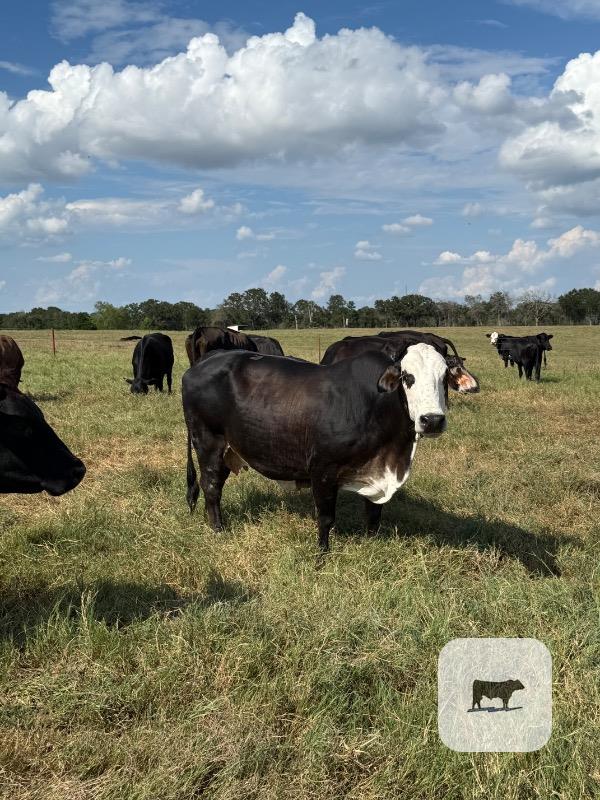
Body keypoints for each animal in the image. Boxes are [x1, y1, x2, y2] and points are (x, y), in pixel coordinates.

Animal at [183, 342, 451, 552]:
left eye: (445, 377)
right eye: (407, 377)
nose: (432, 420)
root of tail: (207, 359)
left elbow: (373, 516)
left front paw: (371, 544)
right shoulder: (323, 469)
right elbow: (325, 518)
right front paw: (322, 555)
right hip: (208, 442)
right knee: (211, 486)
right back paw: (218, 529)